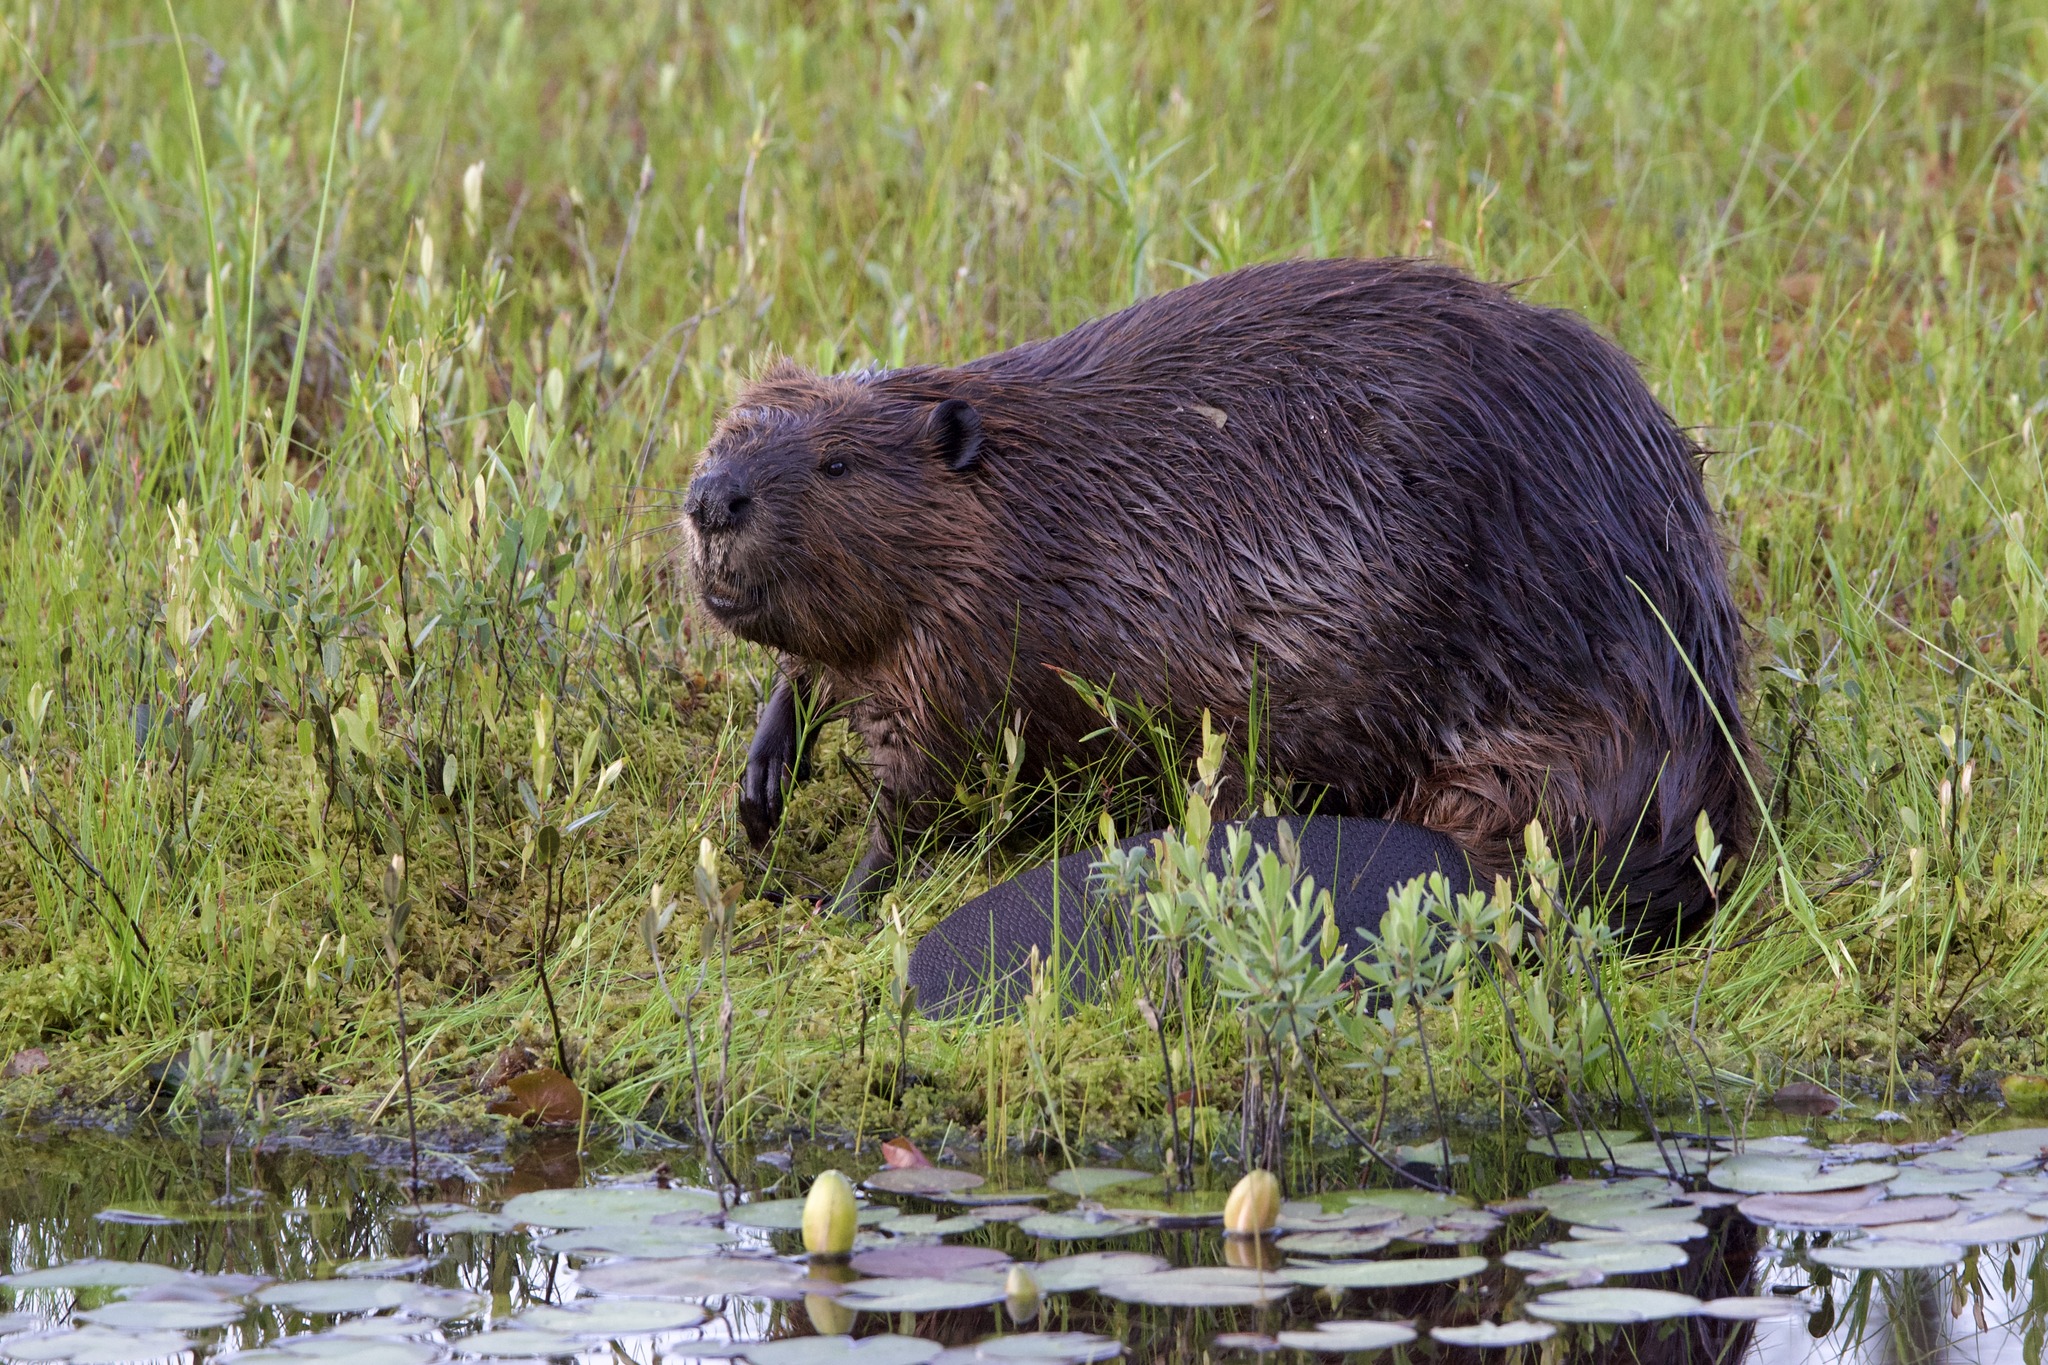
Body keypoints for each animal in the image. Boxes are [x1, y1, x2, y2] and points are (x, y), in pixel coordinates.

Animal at [688, 253, 1761, 941]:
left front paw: (839, 895)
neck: (1036, 496)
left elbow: (925, 781)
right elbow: (811, 671)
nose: (710, 501)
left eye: (837, 462)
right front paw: (760, 787)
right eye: (723, 433)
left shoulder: (973, 635)